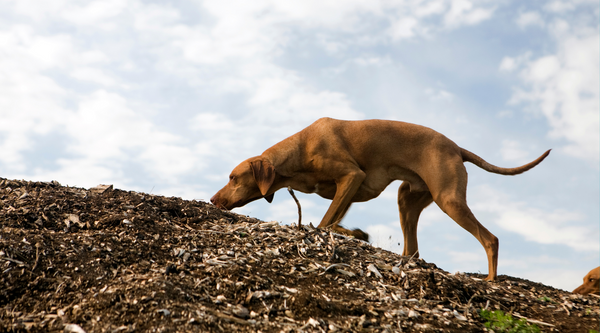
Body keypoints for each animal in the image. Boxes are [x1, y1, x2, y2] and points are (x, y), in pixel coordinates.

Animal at [213, 118, 552, 278]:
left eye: (233, 178)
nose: (214, 200)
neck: (300, 149)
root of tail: (457, 147)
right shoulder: (349, 189)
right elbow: (335, 220)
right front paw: (355, 233)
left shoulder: (351, 176)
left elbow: (325, 222)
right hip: (407, 198)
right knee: (413, 248)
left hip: (449, 199)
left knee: (490, 239)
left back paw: (490, 281)